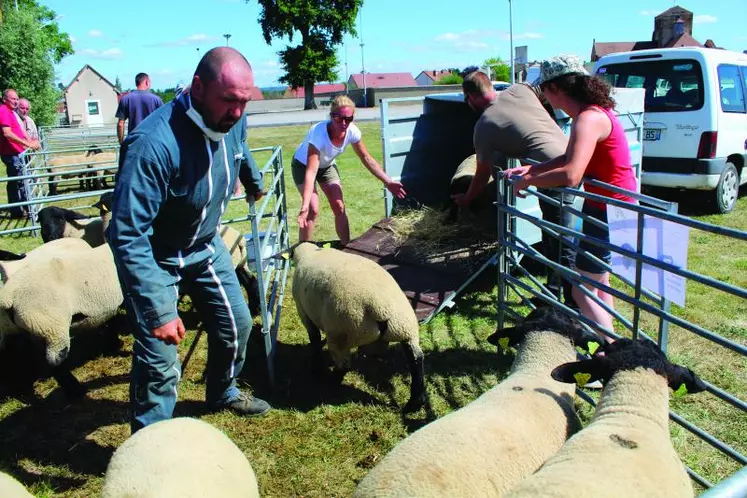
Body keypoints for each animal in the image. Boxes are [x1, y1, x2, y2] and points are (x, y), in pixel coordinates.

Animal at [282, 241, 426, 412]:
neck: (311, 252)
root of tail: (381, 307)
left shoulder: (303, 311)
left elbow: (315, 340)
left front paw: (316, 368)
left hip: (342, 332)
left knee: (343, 365)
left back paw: (330, 384)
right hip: (406, 328)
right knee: (416, 359)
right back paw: (414, 404)